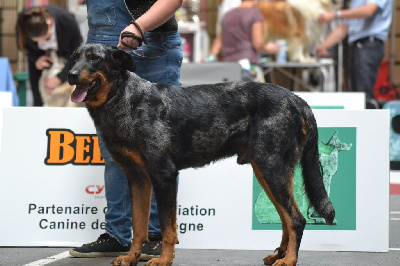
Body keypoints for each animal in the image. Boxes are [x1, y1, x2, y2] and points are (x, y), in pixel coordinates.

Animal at [68, 43, 334, 266]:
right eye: (74, 57)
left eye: (94, 59)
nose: (70, 74)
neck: (127, 101)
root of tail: (298, 100)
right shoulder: (138, 179)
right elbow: (138, 227)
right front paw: (131, 257)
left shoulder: (164, 175)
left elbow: (167, 227)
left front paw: (164, 259)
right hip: (266, 172)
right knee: (285, 219)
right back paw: (278, 254)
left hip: (273, 170)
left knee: (296, 219)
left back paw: (289, 260)